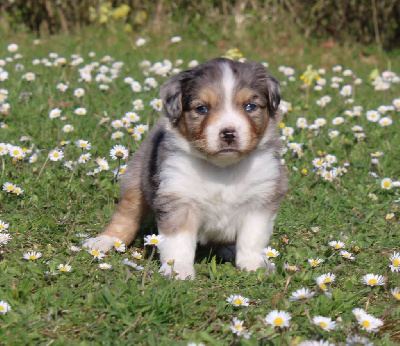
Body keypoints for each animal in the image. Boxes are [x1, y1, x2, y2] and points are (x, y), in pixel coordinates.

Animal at [83, 56, 288, 278]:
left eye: (250, 106)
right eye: (201, 109)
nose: (228, 133)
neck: (222, 168)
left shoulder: (262, 198)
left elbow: (252, 237)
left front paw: (254, 266)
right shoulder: (177, 197)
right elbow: (178, 240)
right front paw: (178, 270)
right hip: (135, 181)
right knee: (126, 215)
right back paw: (103, 242)